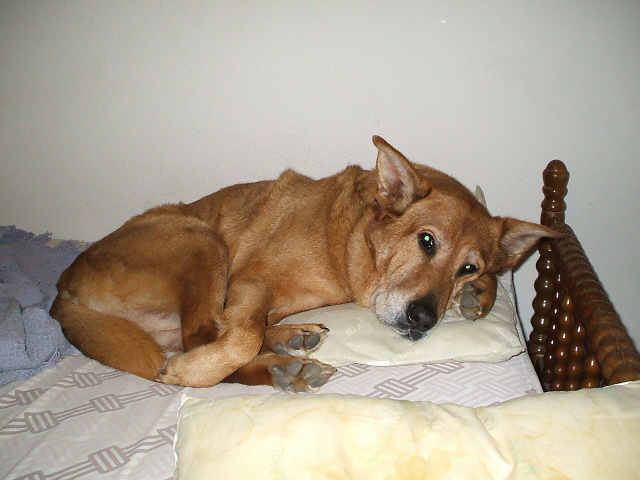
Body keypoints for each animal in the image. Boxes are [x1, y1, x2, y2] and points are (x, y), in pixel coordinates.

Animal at [51, 136, 557, 391]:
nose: (422, 319)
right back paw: (275, 359)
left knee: (203, 334)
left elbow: (242, 331)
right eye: (427, 241)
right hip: (202, 239)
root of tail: (61, 293)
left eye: (468, 267)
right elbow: (239, 337)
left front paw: (478, 294)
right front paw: (193, 372)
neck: (348, 245)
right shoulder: (249, 282)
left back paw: (288, 350)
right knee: (203, 336)